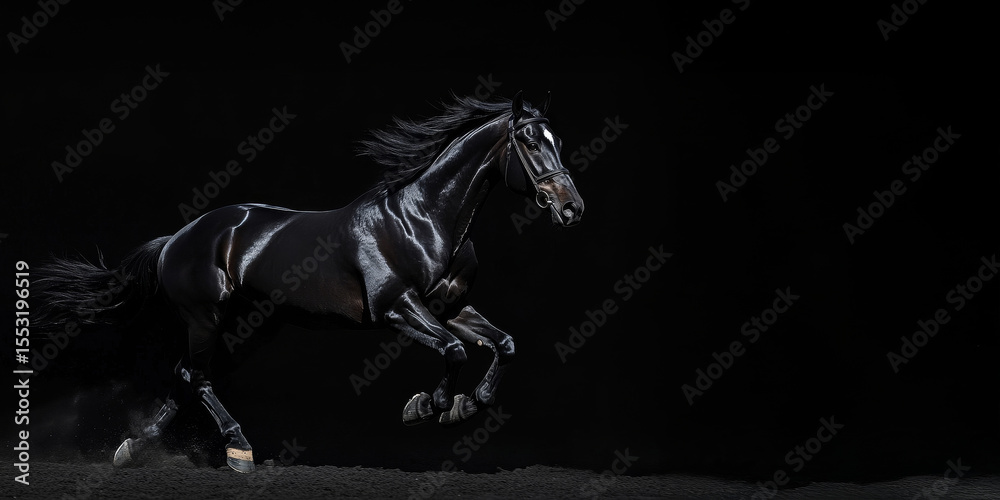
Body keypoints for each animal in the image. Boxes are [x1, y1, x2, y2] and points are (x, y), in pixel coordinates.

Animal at [34, 91, 585, 473]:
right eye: (530, 141)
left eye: (557, 141)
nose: (571, 208)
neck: (424, 220)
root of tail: (177, 238)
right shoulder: (396, 307)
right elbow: (453, 351)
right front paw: (428, 406)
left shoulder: (450, 307)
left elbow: (504, 344)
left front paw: (468, 404)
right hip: (205, 317)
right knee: (197, 376)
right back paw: (238, 450)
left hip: (241, 323)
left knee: (187, 374)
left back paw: (133, 447)